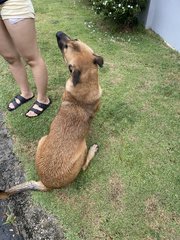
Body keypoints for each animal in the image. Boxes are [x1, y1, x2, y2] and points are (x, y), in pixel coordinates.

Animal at [0, 31, 103, 199]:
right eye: (68, 44)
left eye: (73, 41)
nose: (58, 33)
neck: (85, 81)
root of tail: (45, 184)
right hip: (82, 147)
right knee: (84, 166)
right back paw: (93, 150)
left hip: (43, 139)